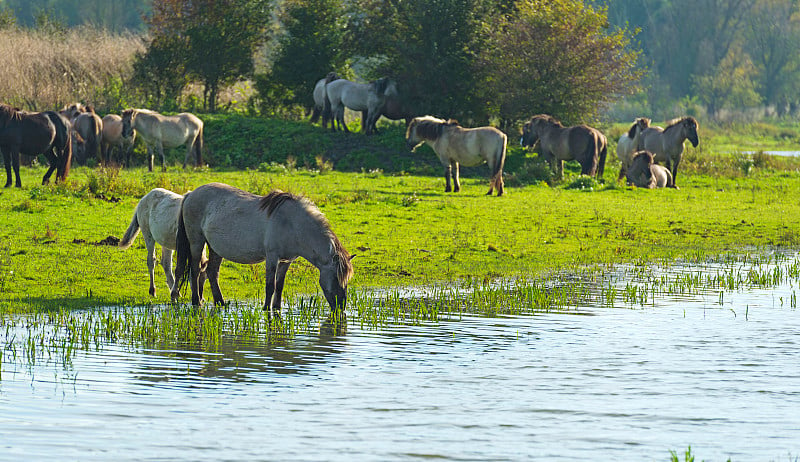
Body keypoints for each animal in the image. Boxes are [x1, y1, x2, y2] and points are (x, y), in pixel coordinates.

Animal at [175, 182, 354, 324]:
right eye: (335, 278)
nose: (341, 308)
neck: (293, 223)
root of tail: (190, 194)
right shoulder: (272, 257)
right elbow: (270, 285)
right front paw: (266, 309)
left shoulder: (286, 261)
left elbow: (279, 285)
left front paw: (277, 308)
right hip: (197, 242)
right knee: (195, 271)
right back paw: (197, 302)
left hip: (215, 248)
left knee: (212, 273)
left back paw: (220, 302)